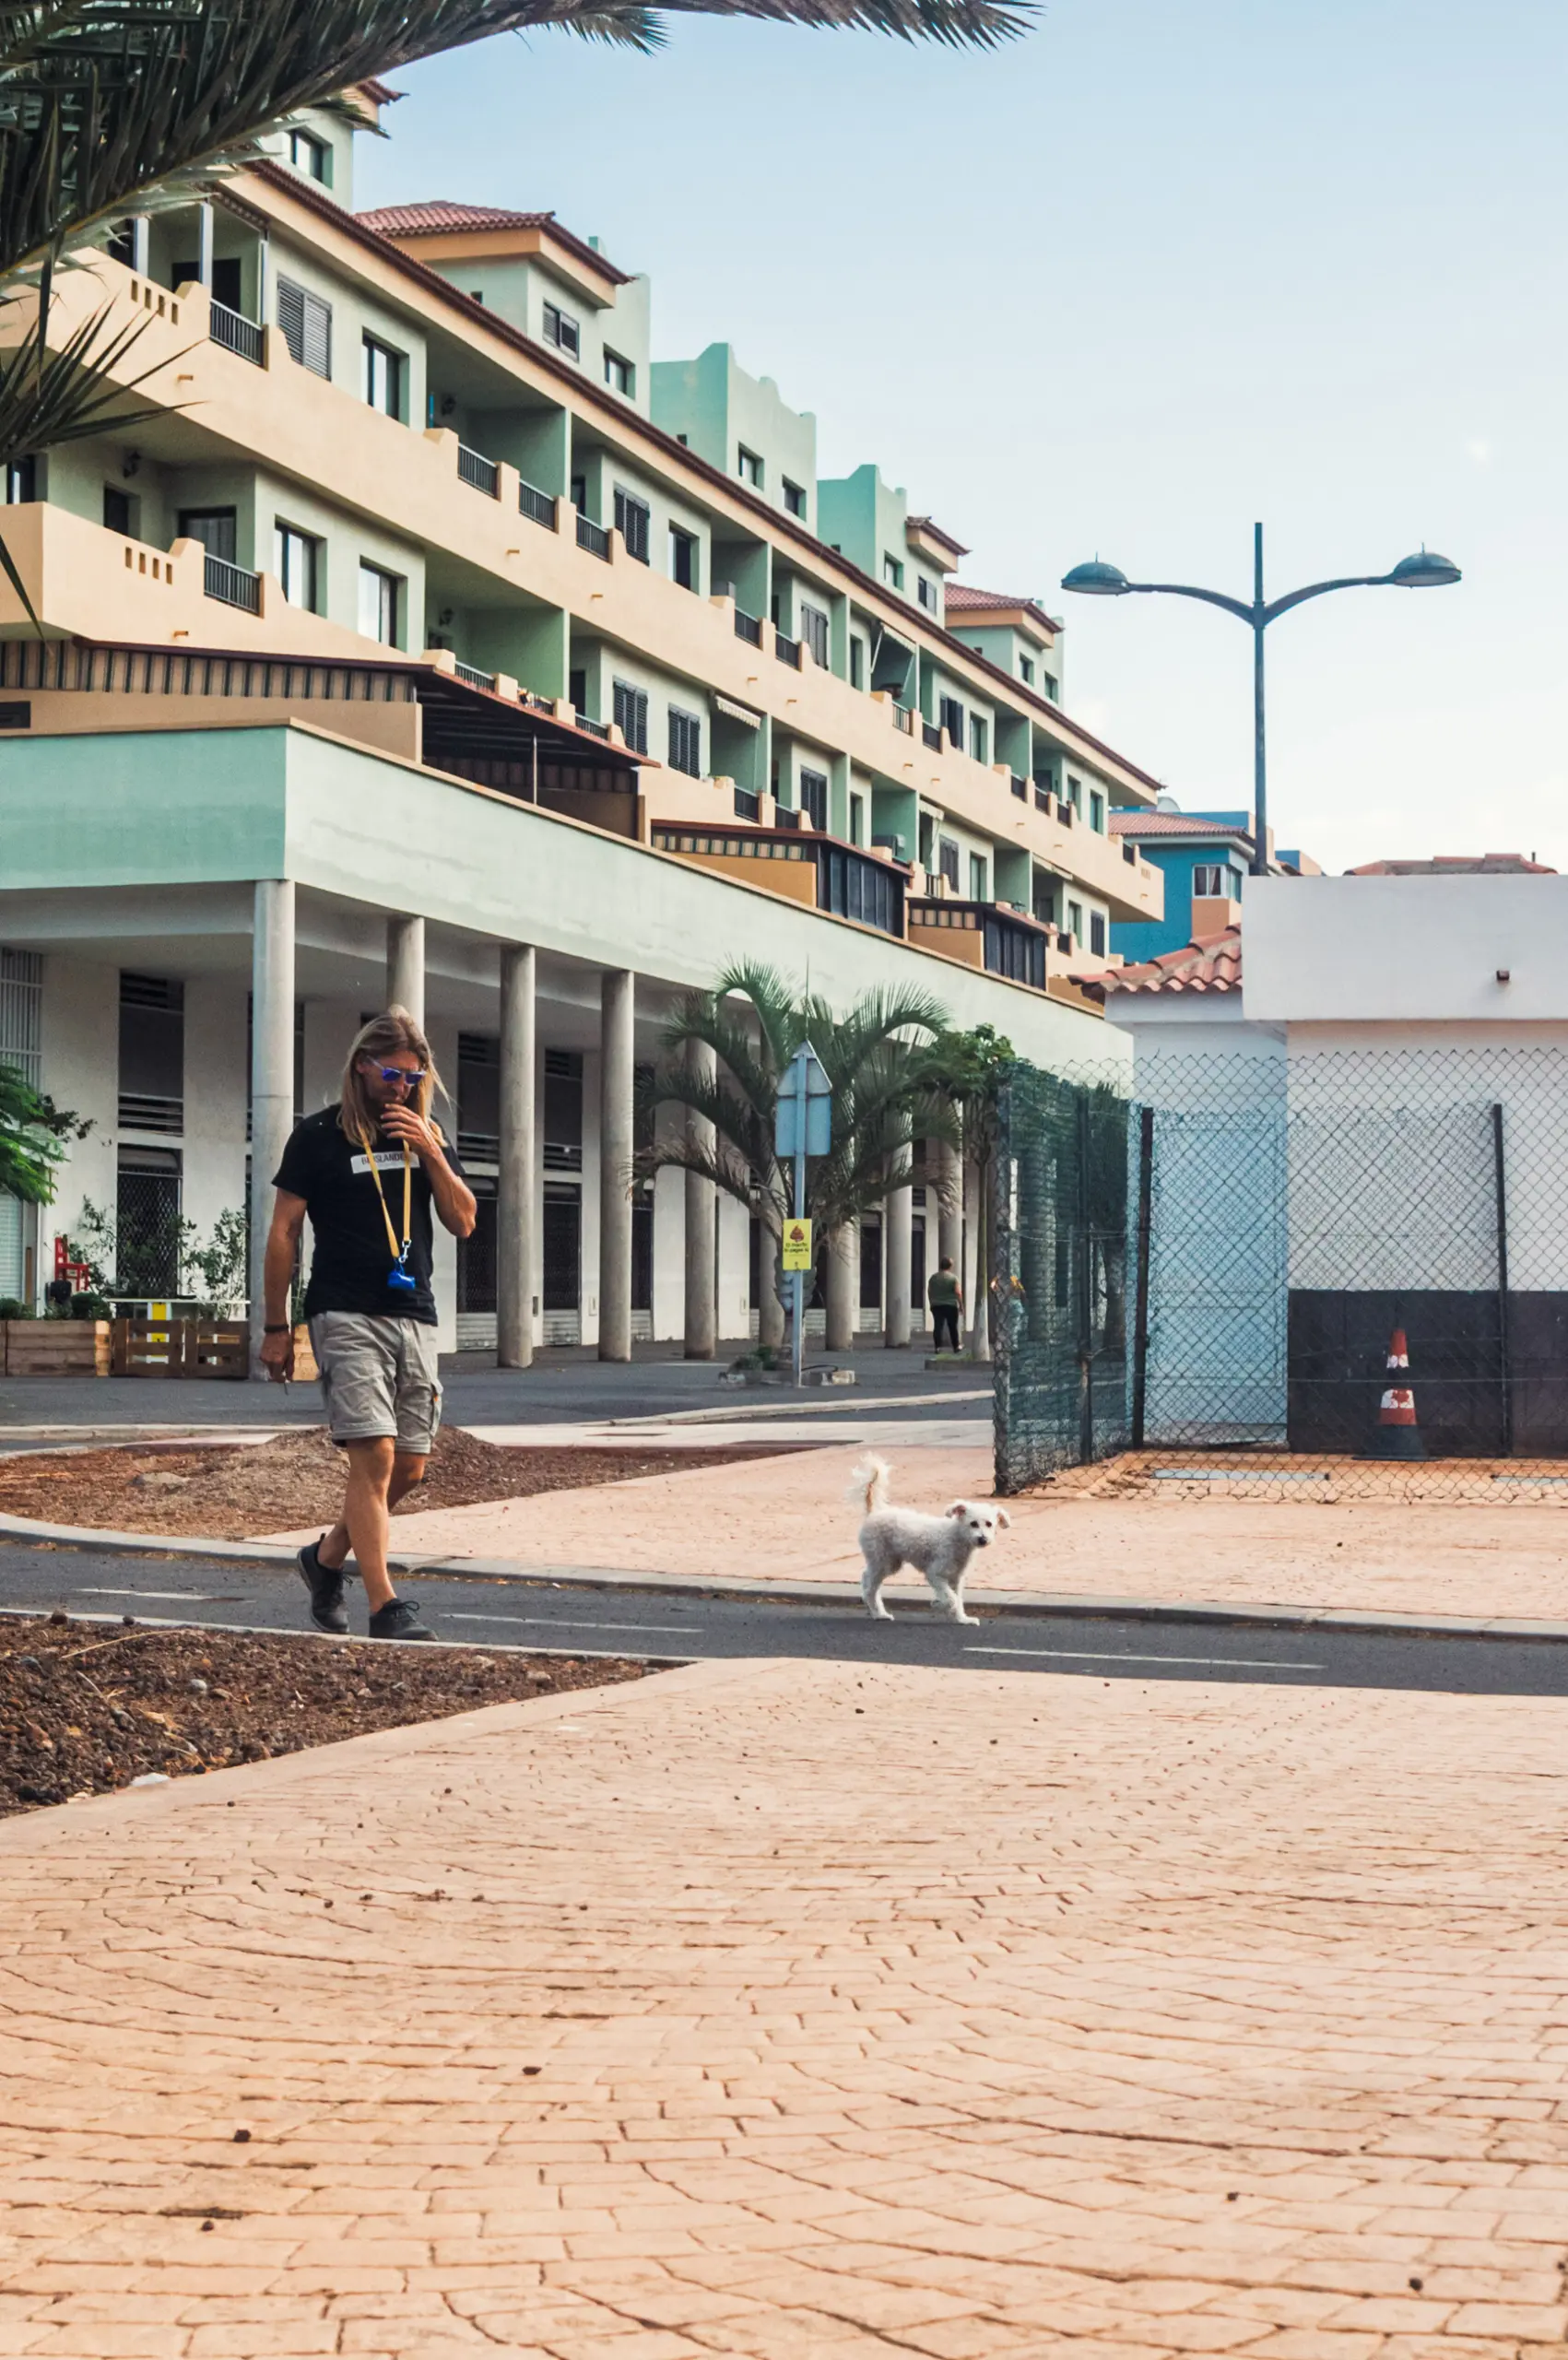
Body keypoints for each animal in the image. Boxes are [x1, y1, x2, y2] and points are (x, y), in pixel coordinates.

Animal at [850, 1453, 1010, 1623]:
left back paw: (876, 1611)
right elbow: (951, 1598)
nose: (983, 1539)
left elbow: (957, 1599)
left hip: (890, 1562)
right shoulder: (935, 1574)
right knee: (870, 1586)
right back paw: (879, 1613)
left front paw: (962, 1619)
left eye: (989, 1524)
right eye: (973, 1523)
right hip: (882, 1560)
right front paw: (938, 1603)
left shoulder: (955, 1579)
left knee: (867, 1578)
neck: (957, 1537)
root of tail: (874, 1513)